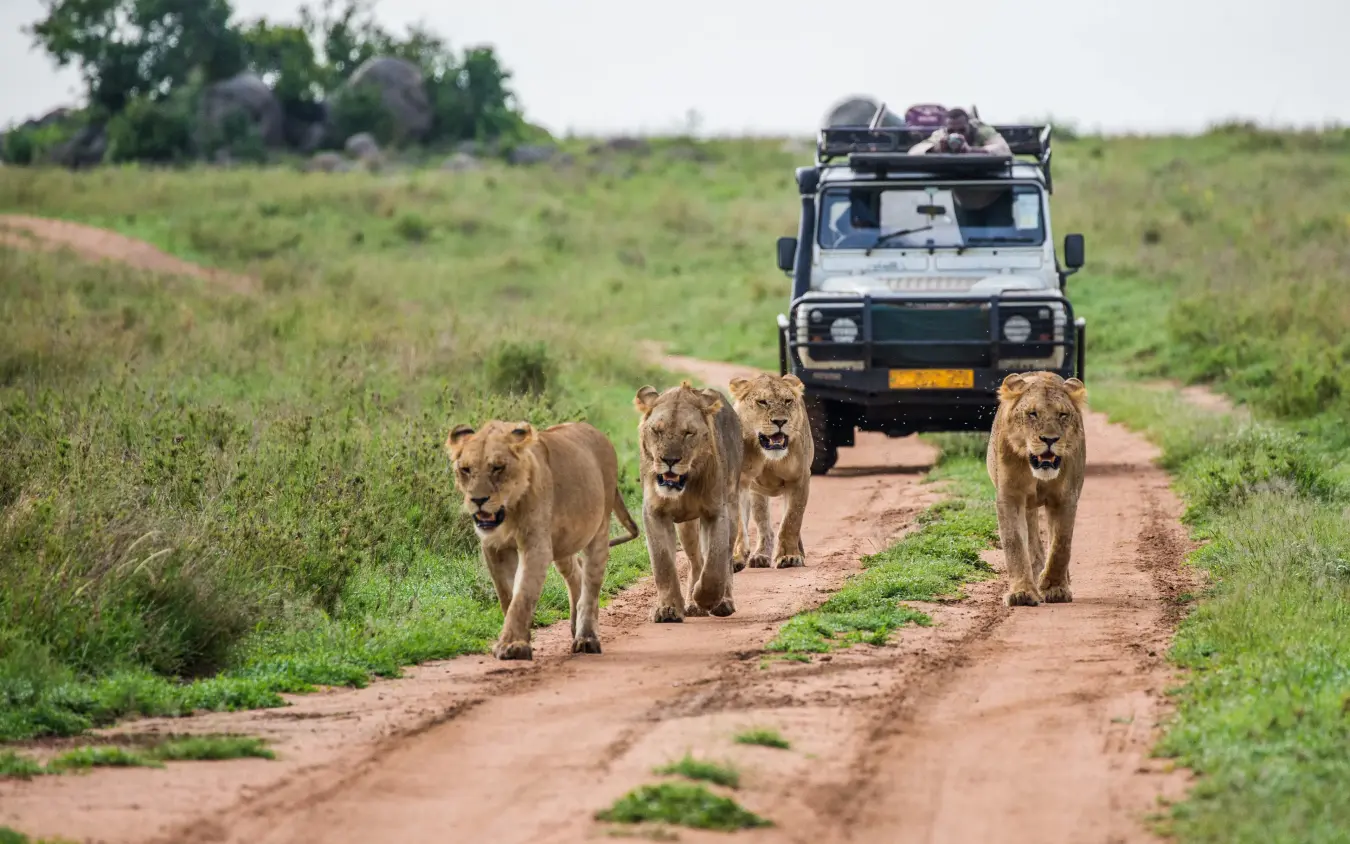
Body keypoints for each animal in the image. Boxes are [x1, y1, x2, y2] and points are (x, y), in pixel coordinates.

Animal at [446, 419, 640, 660]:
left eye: (498, 468)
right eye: (465, 469)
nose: (478, 500)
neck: (509, 512)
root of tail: (597, 432)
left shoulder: (536, 546)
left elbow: (523, 595)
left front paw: (512, 645)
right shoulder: (493, 547)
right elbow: (507, 595)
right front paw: (519, 640)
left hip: (599, 530)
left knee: (590, 588)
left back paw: (586, 638)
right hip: (564, 543)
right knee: (576, 575)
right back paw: (575, 627)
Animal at [633, 381, 744, 622]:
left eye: (688, 433)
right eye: (657, 431)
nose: (669, 460)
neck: (685, 487)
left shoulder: (716, 512)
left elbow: (715, 563)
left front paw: (707, 599)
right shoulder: (654, 512)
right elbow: (663, 563)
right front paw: (668, 609)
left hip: (732, 507)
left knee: (725, 559)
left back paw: (721, 602)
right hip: (687, 527)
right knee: (696, 560)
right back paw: (693, 605)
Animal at [728, 373, 813, 570]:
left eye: (788, 401)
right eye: (762, 402)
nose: (780, 421)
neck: (767, 456)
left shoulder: (799, 479)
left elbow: (791, 521)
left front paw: (790, 556)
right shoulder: (739, 482)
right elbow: (739, 523)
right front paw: (737, 557)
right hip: (757, 494)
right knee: (764, 527)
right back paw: (760, 556)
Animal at [986, 371, 1088, 607]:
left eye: (1062, 415)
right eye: (1032, 414)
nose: (1050, 439)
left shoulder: (1065, 498)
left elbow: (1060, 545)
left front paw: (1055, 587)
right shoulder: (1010, 496)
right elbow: (1014, 543)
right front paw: (1022, 592)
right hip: (1028, 506)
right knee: (1031, 538)